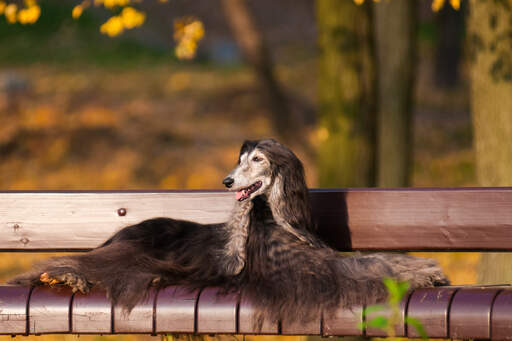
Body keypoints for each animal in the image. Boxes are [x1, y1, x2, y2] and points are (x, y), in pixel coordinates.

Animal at [9, 140, 448, 324]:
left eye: (257, 160)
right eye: (239, 160)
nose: (226, 181)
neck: (271, 217)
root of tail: (123, 229)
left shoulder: (316, 260)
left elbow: (371, 260)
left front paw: (423, 268)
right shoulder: (304, 272)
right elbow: (364, 267)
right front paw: (421, 272)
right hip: (132, 250)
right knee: (94, 263)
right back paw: (62, 275)